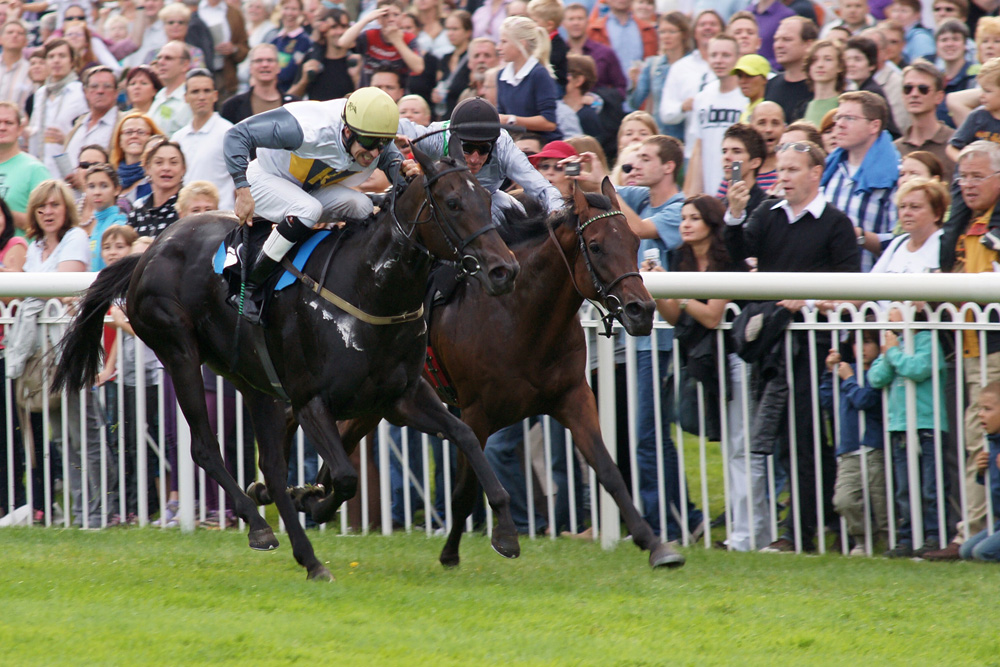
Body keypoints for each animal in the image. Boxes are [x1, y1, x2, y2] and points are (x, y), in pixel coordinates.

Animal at [52, 141, 524, 580]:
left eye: (488, 200)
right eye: (453, 203)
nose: (504, 270)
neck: (368, 287)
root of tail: (147, 253)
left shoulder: (400, 397)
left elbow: (465, 436)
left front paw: (505, 531)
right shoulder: (310, 400)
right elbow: (346, 477)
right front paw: (311, 500)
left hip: (252, 381)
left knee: (273, 467)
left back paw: (307, 555)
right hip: (179, 352)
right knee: (206, 447)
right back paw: (260, 526)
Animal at [304, 181, 684, 568]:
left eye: (635, 242)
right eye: (595, 245)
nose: (642, 310)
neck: (521, 317)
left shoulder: (573, 396)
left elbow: (609, 471)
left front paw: (656, 546)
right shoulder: (476, 411)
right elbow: (465, 489)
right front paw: (465, 549)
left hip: (379, 400)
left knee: (345, 438)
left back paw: (316, 499)